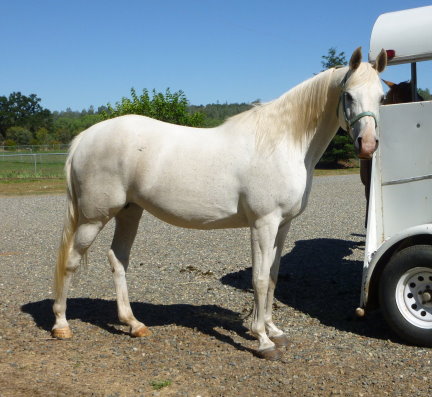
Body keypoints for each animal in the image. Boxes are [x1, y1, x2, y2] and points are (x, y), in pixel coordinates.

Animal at [51, 47, 388, 358]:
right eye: (348, 95)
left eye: (381, 96)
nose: (368, 145)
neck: (282, 142)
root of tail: (84, 138)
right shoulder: (263, 223)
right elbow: (260, 278)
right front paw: (262, 340)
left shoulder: (282, 225)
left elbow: (273, 276)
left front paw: (274, 330)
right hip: (94, 217)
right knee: (71, 261)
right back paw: (62, 325)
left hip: (129, 212)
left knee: (117, 259)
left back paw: (134, 324)